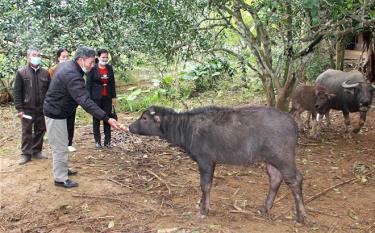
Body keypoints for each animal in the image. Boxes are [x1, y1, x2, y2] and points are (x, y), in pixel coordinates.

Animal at [129, 106, 306, 224]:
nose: (130, 127)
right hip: (271, 160)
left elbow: (205, 185)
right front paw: (201, 205)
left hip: (283, 157)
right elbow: (205, 185)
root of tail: (293, 123)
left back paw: (301, 217)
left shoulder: (205, 160)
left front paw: (204, 210)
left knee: (295, 179)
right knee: (275, 178)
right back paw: (265, 208)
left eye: (144, 118)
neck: (186, 128)